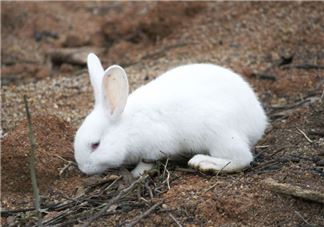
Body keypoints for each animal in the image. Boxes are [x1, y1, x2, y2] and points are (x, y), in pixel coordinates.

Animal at [74, 53, 268, 177]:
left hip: (220, 134)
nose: (83, 169)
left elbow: (147, 161)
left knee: (242, 159)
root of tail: (259, 120)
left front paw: (137, 173)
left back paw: (203, 163)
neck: (128, 126)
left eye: (95, 145)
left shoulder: (154, 147)